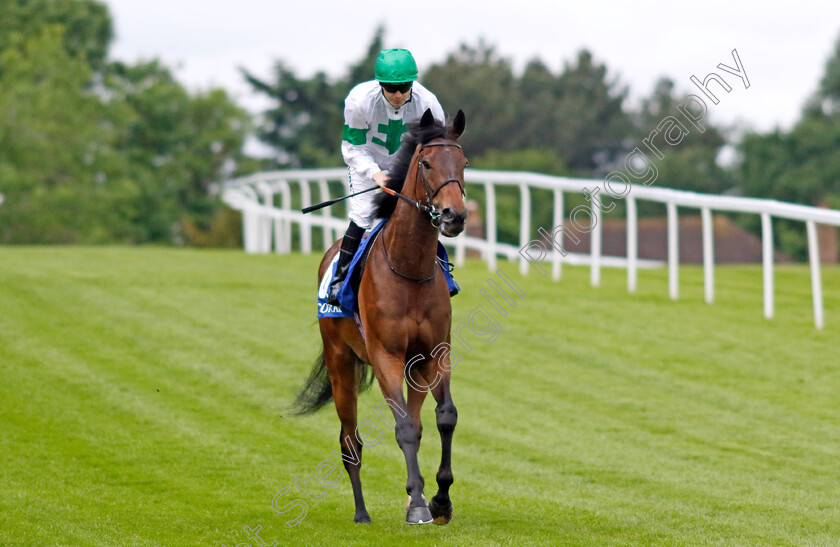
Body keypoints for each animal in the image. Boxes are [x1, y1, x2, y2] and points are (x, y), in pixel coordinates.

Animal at [292, 108, 470, 528]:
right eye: (426, 163)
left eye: (464, 163)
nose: (454, 215)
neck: (409, 268)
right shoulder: (385, 354)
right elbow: (402, 427)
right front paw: (419, 503)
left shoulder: (435, 354)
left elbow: (443, 417)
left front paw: (440, 499)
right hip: (341, 363)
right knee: (350, 441)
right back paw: (361, 511)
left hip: (413, 368)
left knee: (417, 423)